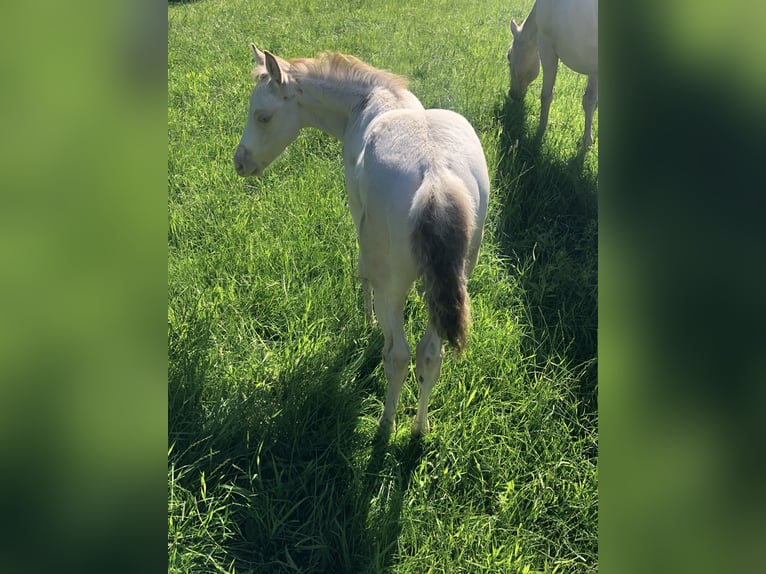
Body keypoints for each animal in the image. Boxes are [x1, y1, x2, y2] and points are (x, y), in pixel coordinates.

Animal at [231, 47, 492, 436]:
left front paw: (367, 318)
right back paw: (419, 428)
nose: (240, 163)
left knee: (398, 355)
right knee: (430, 355)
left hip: (392, 285)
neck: (371, 101)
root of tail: (435, 179)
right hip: (459, 273)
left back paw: (385, 425)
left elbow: (362, 270)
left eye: (263, 116)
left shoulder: (359, 214)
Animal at [510, 0, 600, 148]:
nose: (512, 94)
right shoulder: (594, 69)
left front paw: (540, 130)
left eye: (508, 56)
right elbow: (591, 102)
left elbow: (546, 96)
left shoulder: (546, 45)